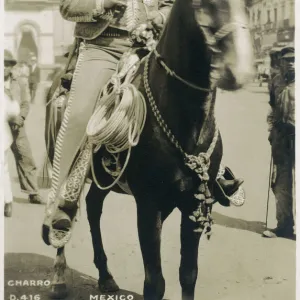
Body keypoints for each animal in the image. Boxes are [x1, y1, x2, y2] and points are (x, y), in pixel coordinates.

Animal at [46, 0, 253, 298]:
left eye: (250, 6)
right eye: (203, 4)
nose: (240, 70)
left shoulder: (195, 203)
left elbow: (188, 274)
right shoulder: (148, 205)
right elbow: (154, 282)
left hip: (104, 179)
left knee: (93, 207)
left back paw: (105, 276)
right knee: (64, 211)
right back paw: (59, 276)